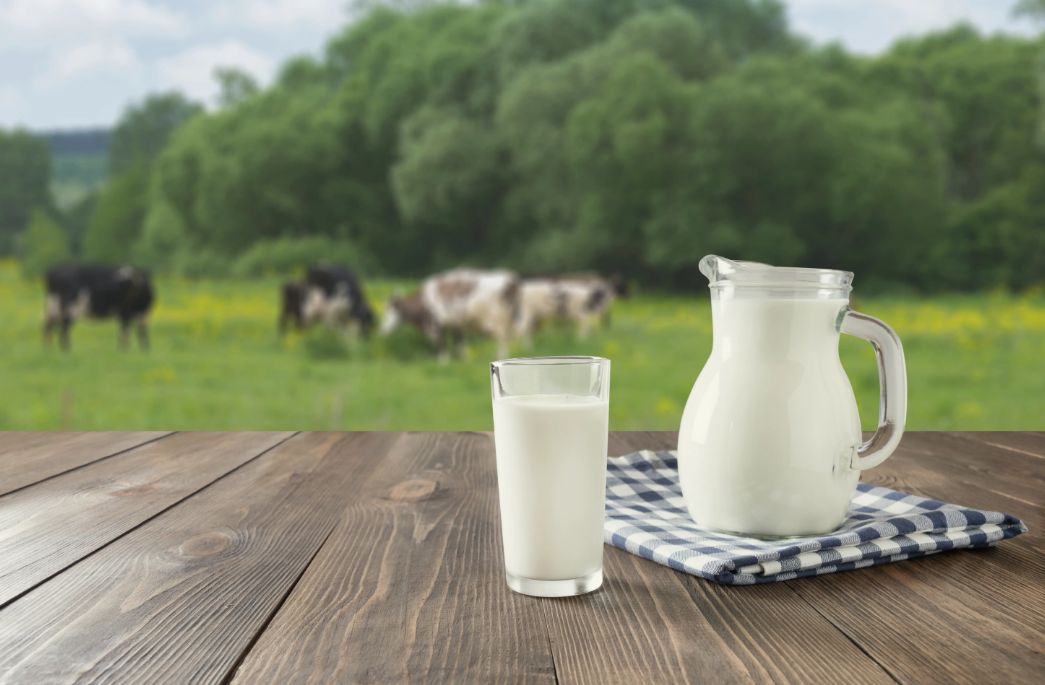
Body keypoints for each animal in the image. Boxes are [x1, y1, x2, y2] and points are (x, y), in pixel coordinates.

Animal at [380, 267, 518, 359]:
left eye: (390, 311)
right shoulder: (456, 325)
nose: (383, 330)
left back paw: (501, 358)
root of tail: (507, 279)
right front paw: (465, 360)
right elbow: (460, 345)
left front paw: (443, 362)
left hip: (497, 321)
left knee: (502, 340)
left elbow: (441, 345)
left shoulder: (435, 326)